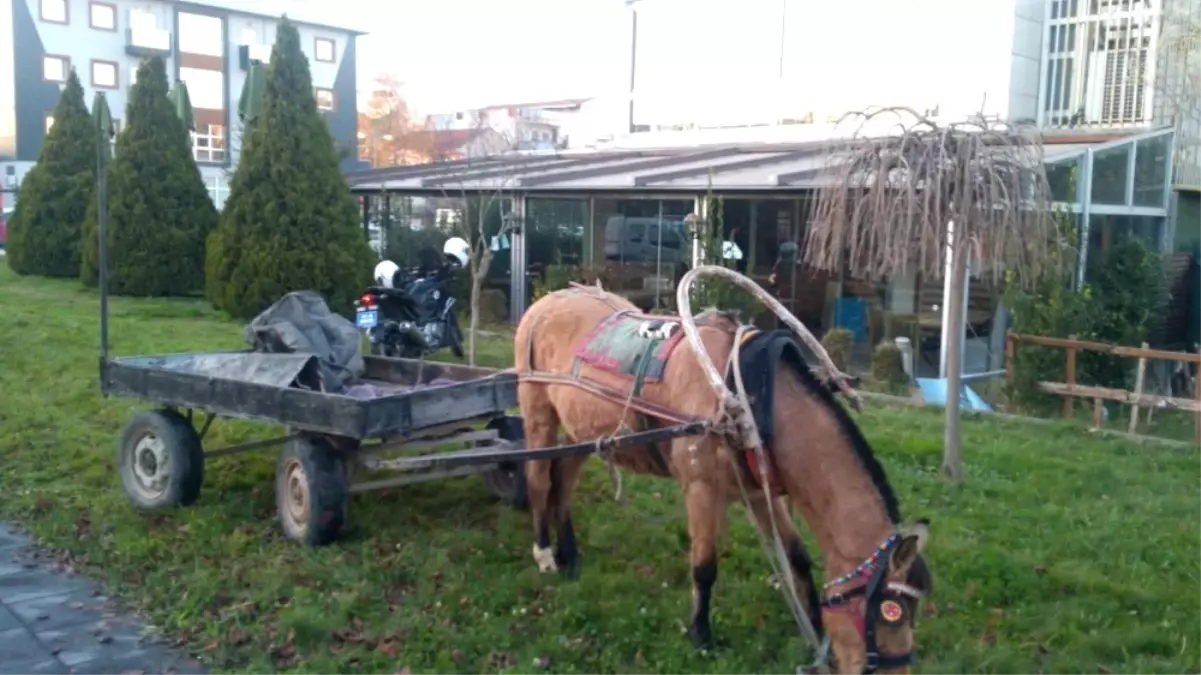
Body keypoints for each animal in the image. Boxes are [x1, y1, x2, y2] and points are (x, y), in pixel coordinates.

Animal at [511, 284, 931, 672]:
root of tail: (548, 300)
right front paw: (701, 633)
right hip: (538, 412)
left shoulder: (759, 491)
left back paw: (570, 555)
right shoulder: (700, 486)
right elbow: (704, 565)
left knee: (563, 480)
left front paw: (813, 622)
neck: (748, 396)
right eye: (889, 611)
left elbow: (797, 554)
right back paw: (545, 552)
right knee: (539, 480)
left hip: (580, 431)